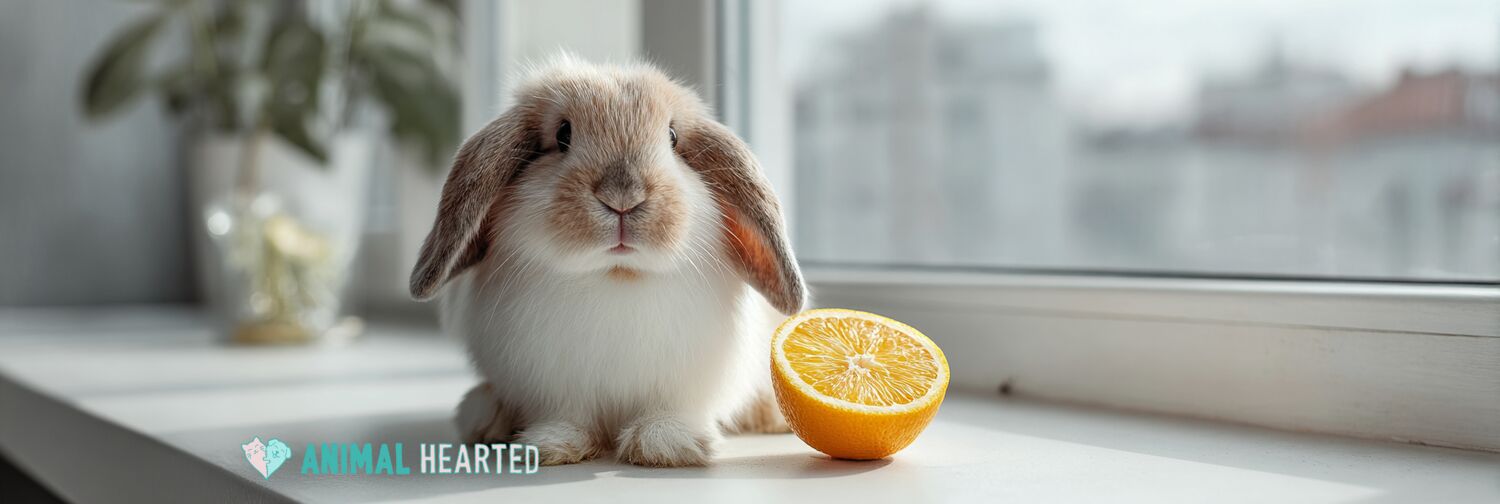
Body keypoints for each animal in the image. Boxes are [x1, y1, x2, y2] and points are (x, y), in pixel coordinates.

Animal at [409, 56, 806, 468]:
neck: (616, 274)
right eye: (563, 135)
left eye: (672, 137)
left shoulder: (682, 386)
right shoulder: (554, 384)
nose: (623, 196)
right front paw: (553, 444)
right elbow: (567, 415)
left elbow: (668, 410)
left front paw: (666, 444)